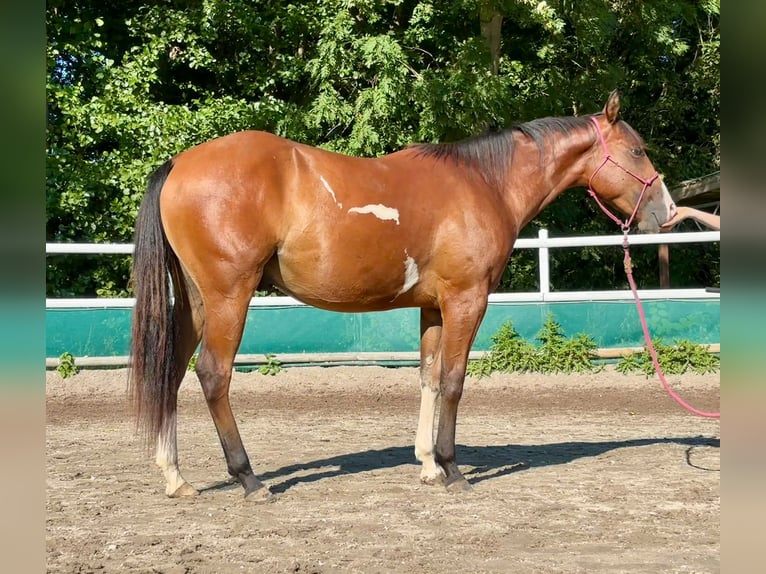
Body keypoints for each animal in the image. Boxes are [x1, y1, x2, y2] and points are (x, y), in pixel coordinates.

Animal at [129, 90, 676, 500]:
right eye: (637, 151)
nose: (667, 211)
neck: (486, 183)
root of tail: (179, 164)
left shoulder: (432, 307)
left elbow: (429, 379)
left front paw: (428, 465)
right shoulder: (465, 301)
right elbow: (454, 381)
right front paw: (453, 470)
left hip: (197, 303)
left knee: (172, 372)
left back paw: (176, 478)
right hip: (228, 297)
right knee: (212, 375)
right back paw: (248, 478)